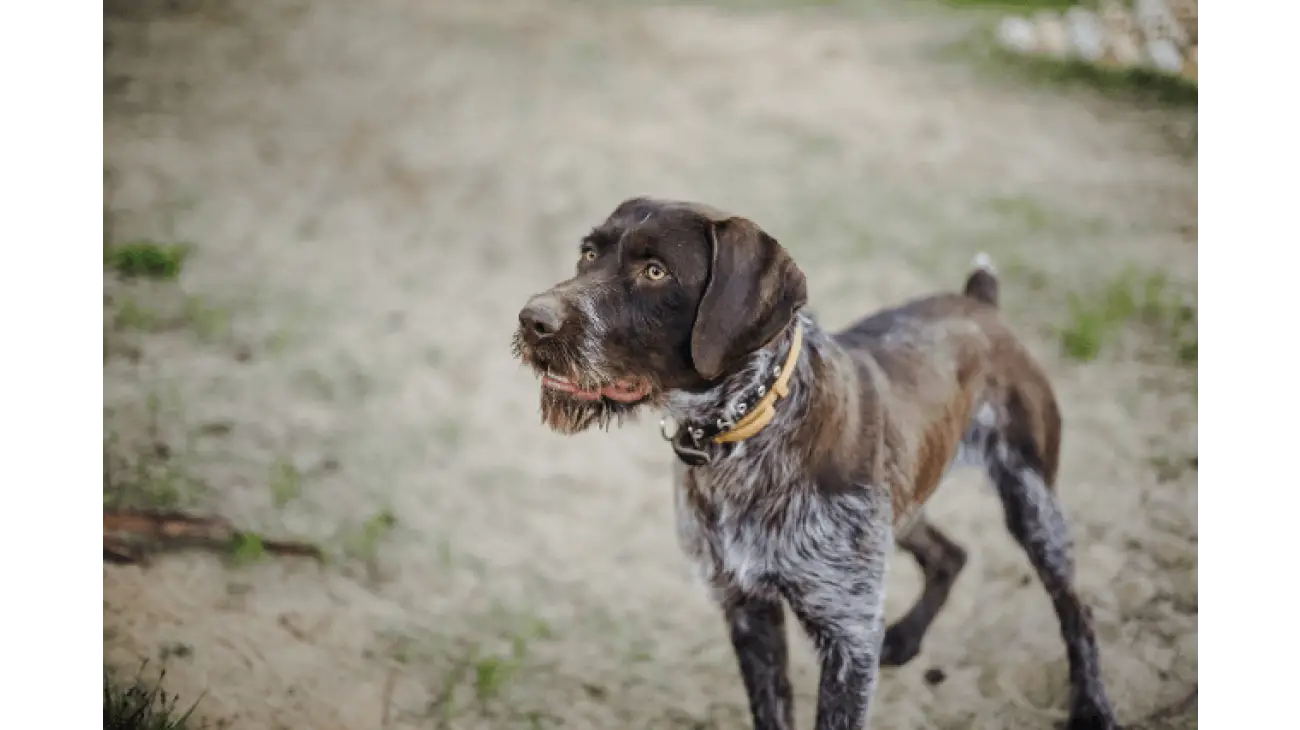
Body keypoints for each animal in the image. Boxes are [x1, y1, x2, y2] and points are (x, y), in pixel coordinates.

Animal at [512, 196, 1123, 722]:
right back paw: (907, 637)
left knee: (1076, 610)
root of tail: (980, 302)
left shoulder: (847, 635)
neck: (747, 426)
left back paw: (1092, 706)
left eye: (656, 271)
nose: (531, 320)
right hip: (902, 505)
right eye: (588, 253)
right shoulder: (748, 610)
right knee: (950, 554)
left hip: (1032, 503)